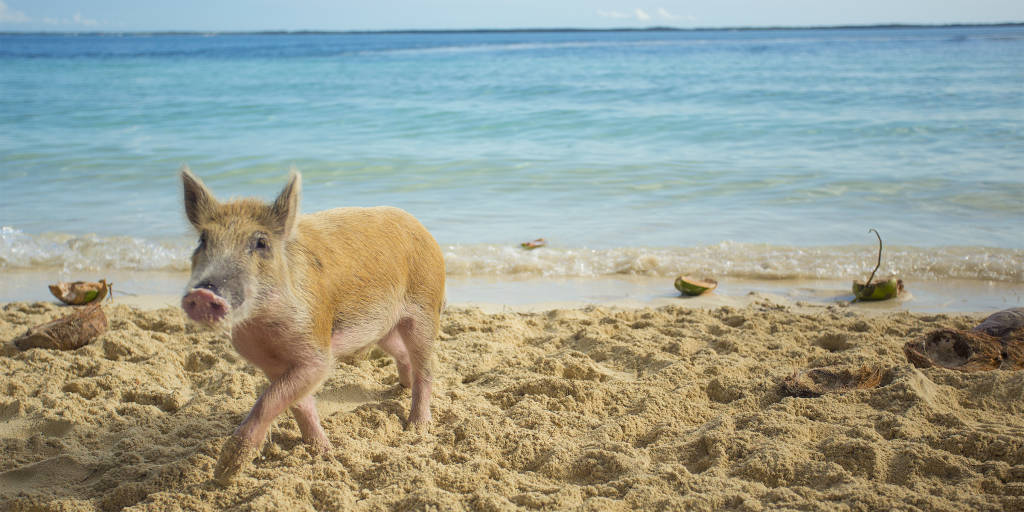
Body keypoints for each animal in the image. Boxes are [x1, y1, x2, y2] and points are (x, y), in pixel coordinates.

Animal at [180, 165, 444, 481]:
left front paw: (224, 472)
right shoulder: (269, 362)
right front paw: (323, 451)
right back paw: (400, 387)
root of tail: (424, 230)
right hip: (384, 328)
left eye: (261, 243)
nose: (203, 292)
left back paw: (417, 426)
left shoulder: (316, 347)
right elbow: (296, 403)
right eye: (202, 240)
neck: (262, 328)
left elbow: (270, 400)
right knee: (403, 354)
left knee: (426, 367)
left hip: (425, 307)